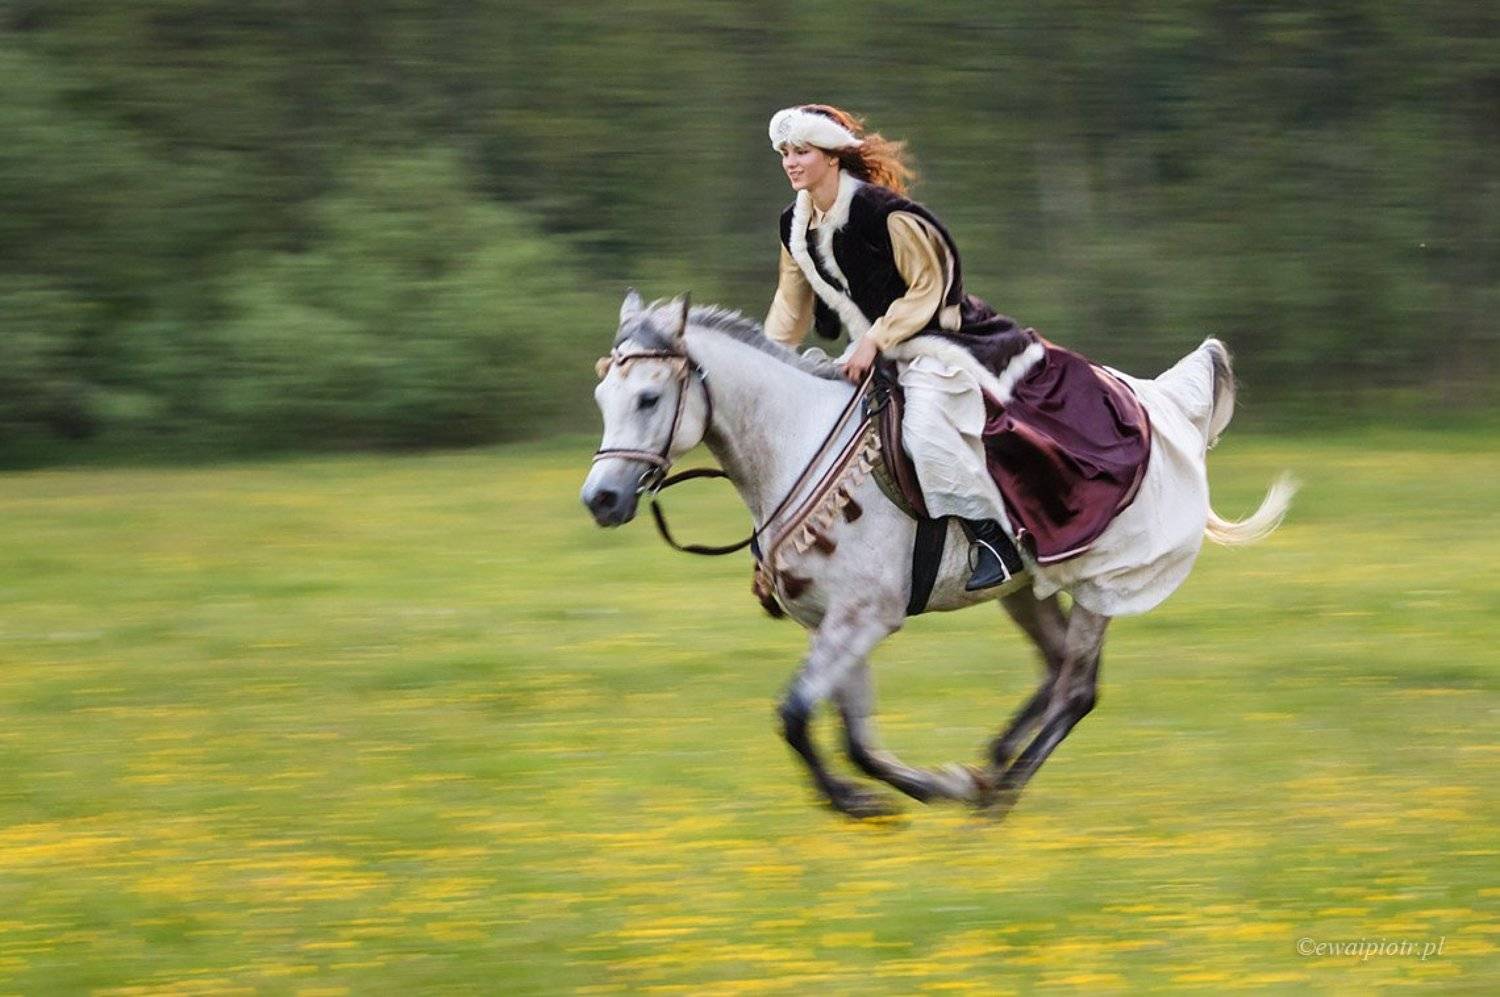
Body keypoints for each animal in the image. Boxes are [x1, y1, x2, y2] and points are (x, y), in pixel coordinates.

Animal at [581, 291, 1295, 819]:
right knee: (1056, 669)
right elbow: (854, 736)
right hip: (1024, 592)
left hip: (1103, 585)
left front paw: (867, 801)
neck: (797, 442)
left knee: (1077, 689)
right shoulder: (834, 624)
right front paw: (926, 788)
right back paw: (992, 767)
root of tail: (1161, 405)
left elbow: (796, 717)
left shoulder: (863, 618)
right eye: (603, 399)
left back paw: (998, 798)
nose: (601, 499)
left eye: (649, 397)